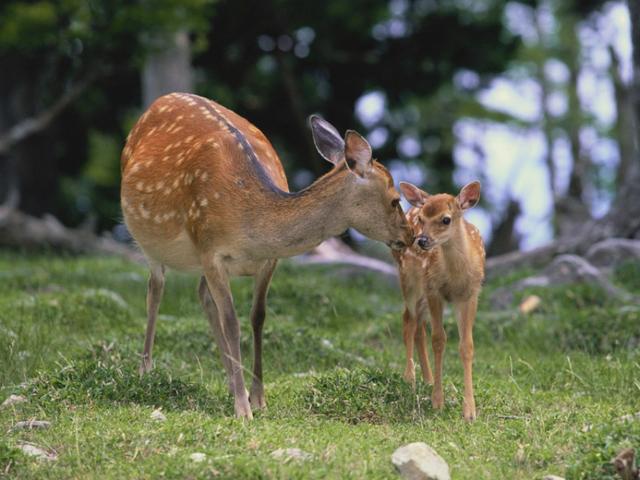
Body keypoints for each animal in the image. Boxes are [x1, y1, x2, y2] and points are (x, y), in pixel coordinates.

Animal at [120, 92, 412, 418]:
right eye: (395, 200)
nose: (411, 236)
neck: (251, 224)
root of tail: (161, 100)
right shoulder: (210, 250)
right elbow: (232, 322)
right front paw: (242, 409)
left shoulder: (268, 261)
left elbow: (257, 317)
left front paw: (257, 398)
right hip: (150, 241)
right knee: (155, 291)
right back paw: (146, 371)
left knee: (202, 295)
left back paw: (232, 383)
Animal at [390, 180, 484, 420]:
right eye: (422, 219)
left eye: (446, 219)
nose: (422, 240)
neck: (455, 276)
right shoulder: (434, 290)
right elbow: (439, 340)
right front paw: (437, 402)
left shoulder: (470, 293)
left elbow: (467, 345)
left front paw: (469, 411)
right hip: (409, 279)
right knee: (408, 320)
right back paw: (410, 377)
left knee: (418, 327)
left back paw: (428, 378)